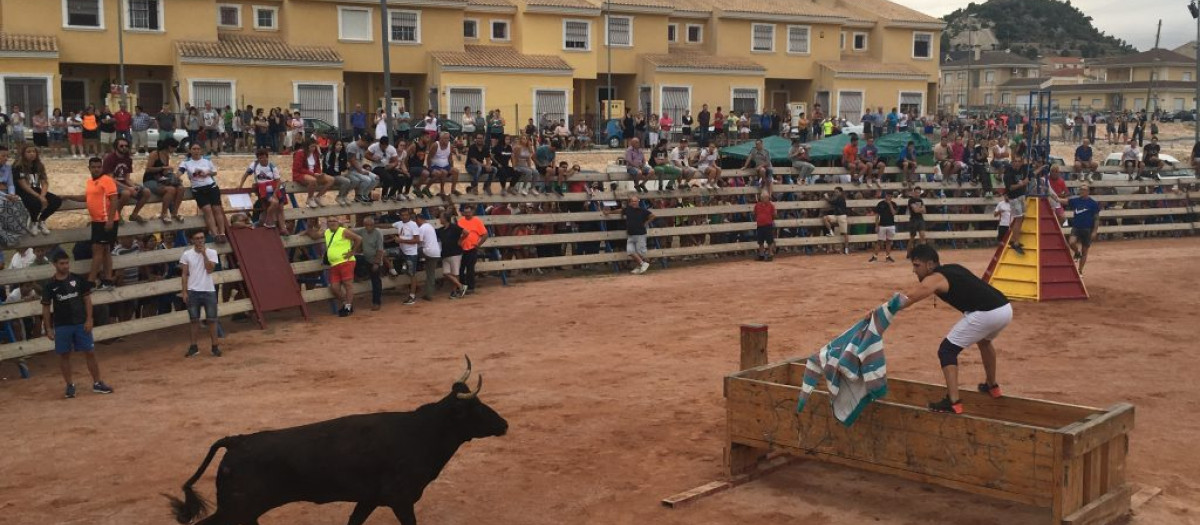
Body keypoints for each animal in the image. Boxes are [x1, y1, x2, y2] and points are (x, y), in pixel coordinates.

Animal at [165, 357, 506, 525]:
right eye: (475, 408)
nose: (504, 424)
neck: (423, 431)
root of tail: (236, 441)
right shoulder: (400, 498)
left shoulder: (368, 498)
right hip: (238, 509)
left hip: (245, 512)